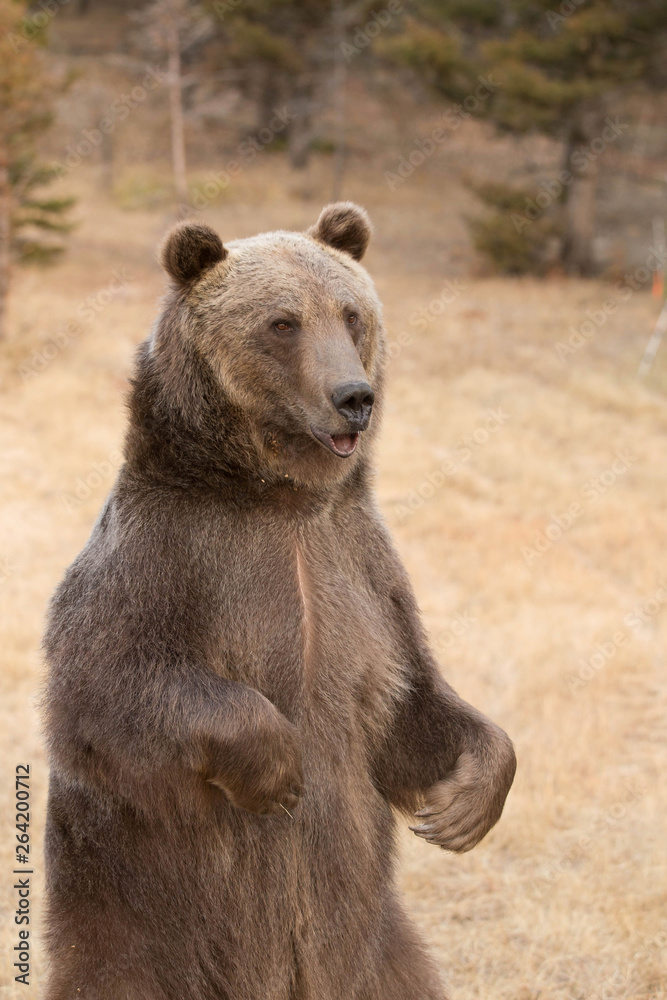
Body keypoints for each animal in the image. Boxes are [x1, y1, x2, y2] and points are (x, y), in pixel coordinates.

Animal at [42, 202, 516, 1000]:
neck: (282, 500)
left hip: (370, 942)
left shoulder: (363, 573)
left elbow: (408, 701)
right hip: (139, 915)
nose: (354, 397)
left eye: (351, 313)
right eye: (282, 322)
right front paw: (278, 767)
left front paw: (464, 802)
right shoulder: (168, 556)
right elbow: (101, 689)